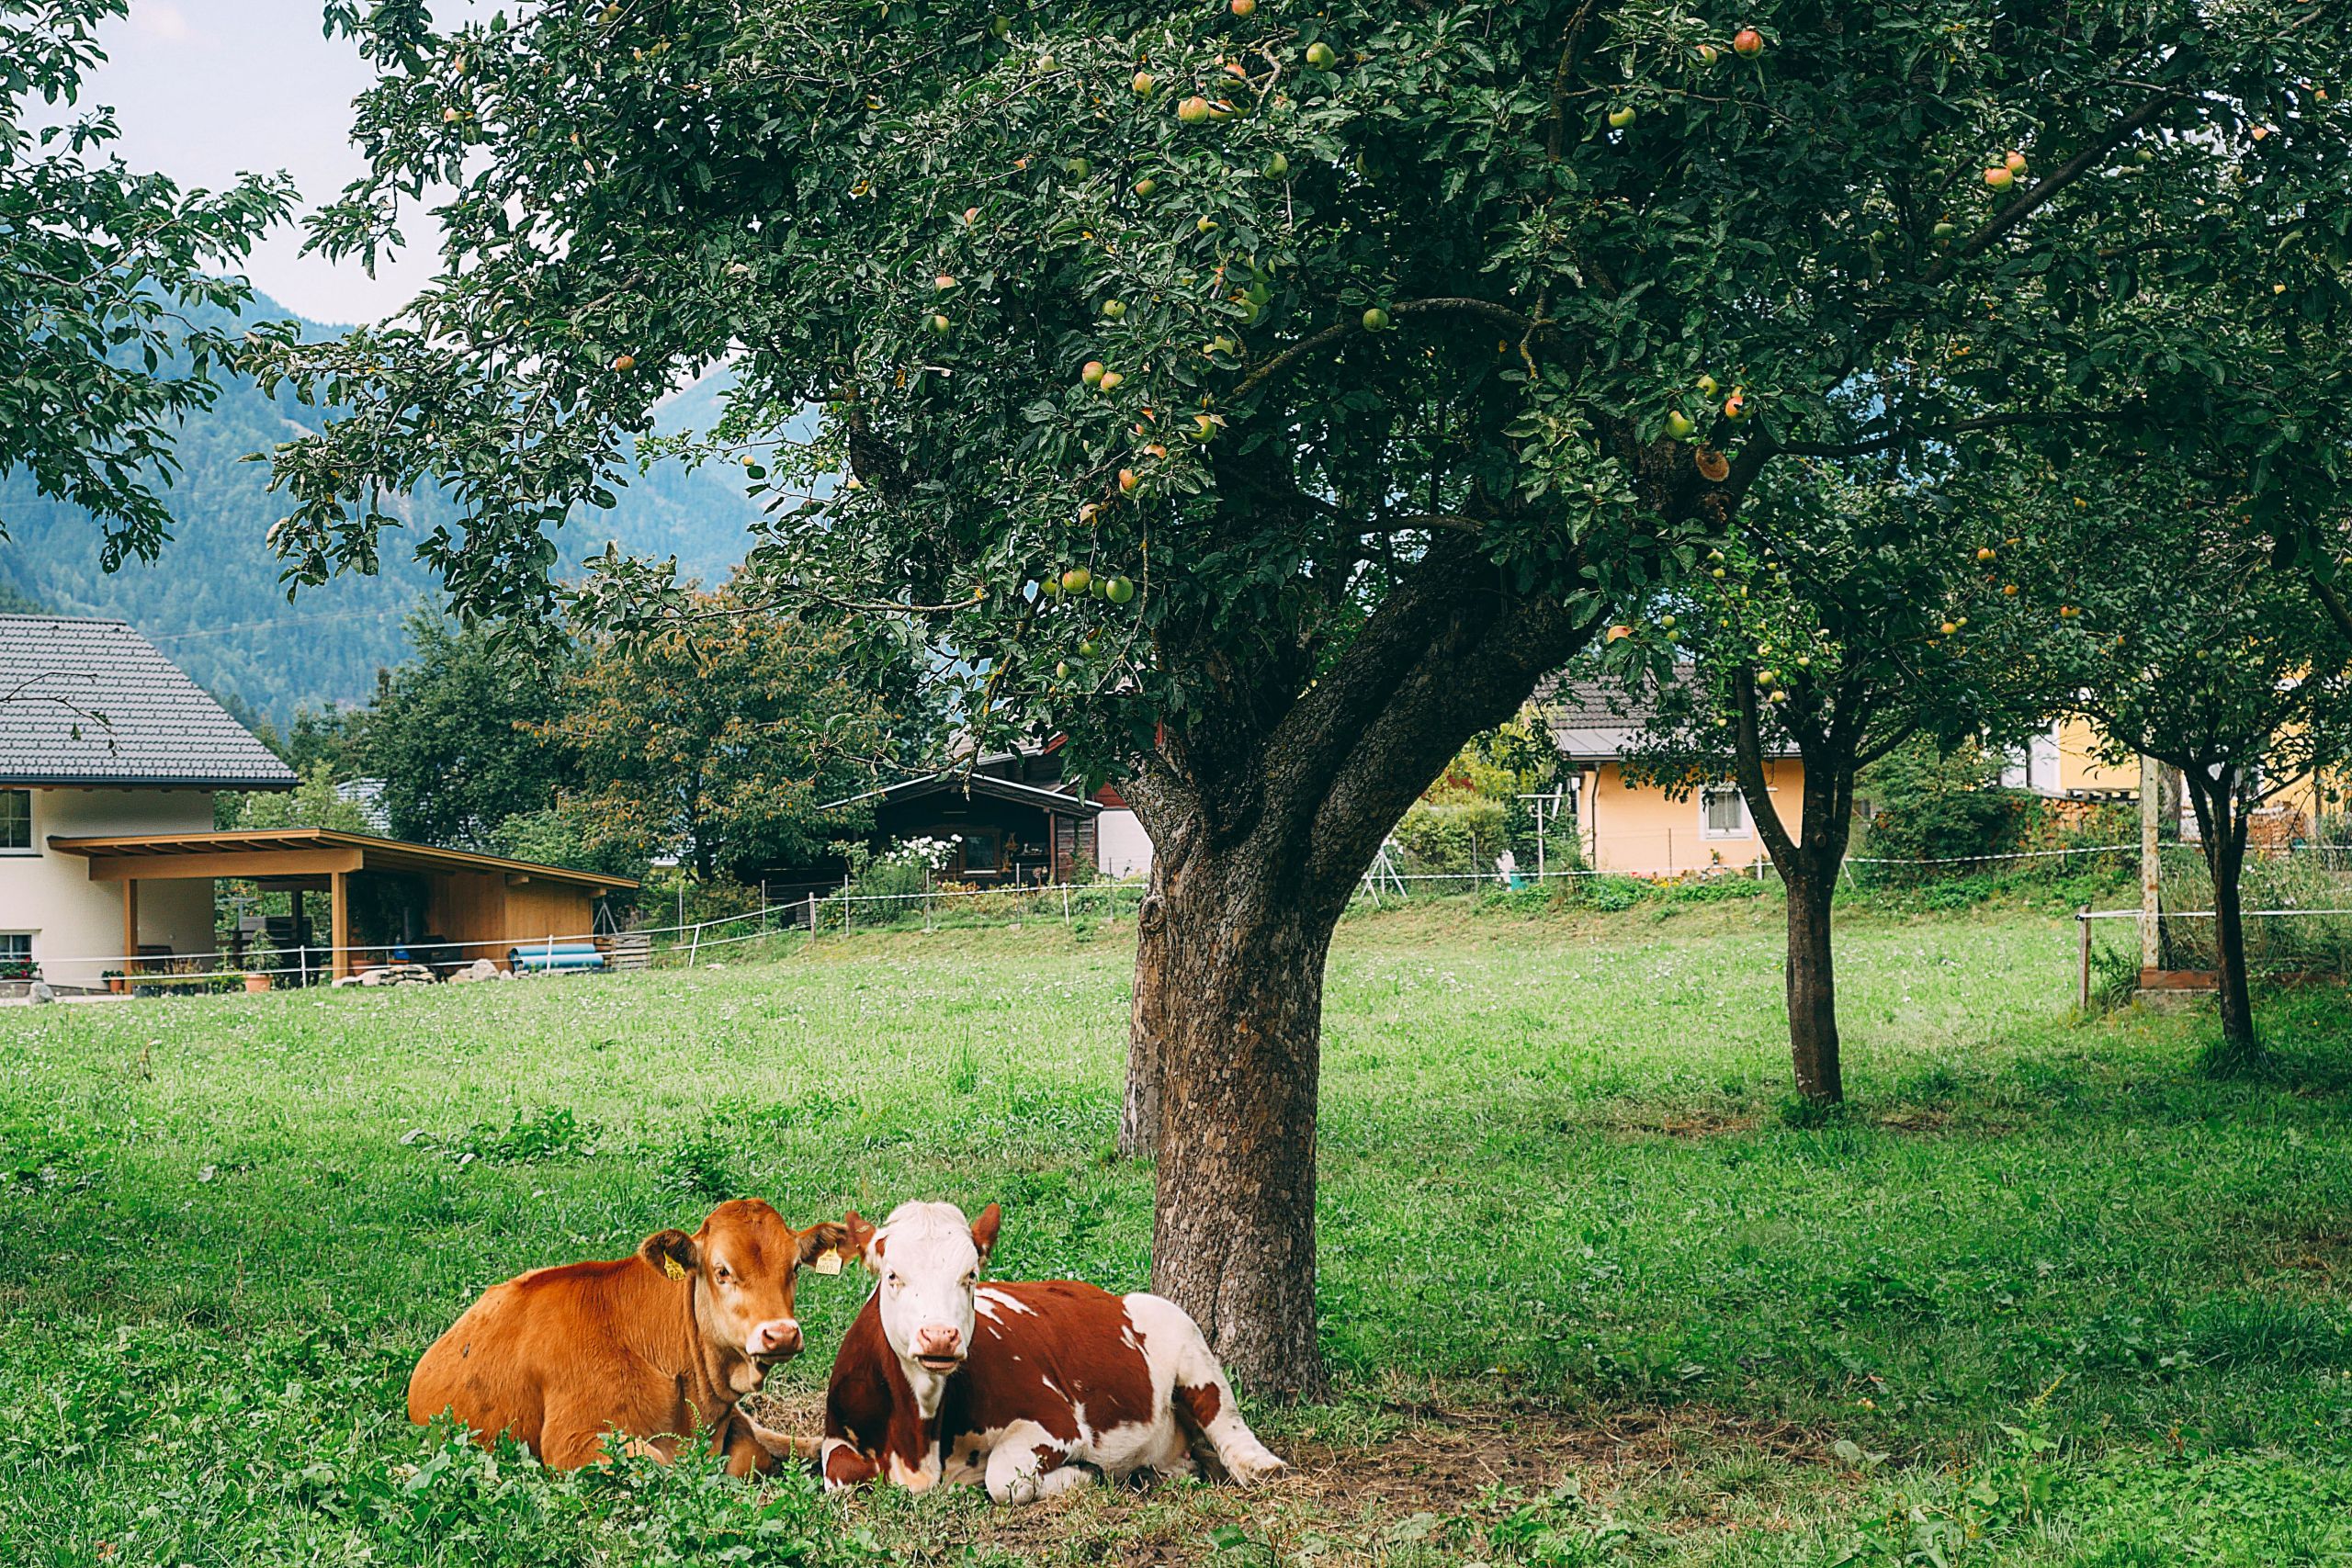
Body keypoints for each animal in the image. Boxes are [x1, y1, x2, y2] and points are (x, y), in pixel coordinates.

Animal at [416, 1203, 855, 1476]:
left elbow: (749, 1454)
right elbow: (659, 1464)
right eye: (722, 1271)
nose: (781, 1334)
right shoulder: (571, 1444)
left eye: (794, 1267)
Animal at [823, 1203, 1288, 1504]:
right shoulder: (836, 1433)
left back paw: (1262, 1467)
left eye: (970, 1275)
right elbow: (839, 1474)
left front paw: (1084, 1473)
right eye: (892, 1275)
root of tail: (1115, 1297)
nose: (939, 1336)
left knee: (1225, 1419)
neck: (917, 1437)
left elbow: (1002, 1479)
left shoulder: (1057, 1423)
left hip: (1186, 1337)